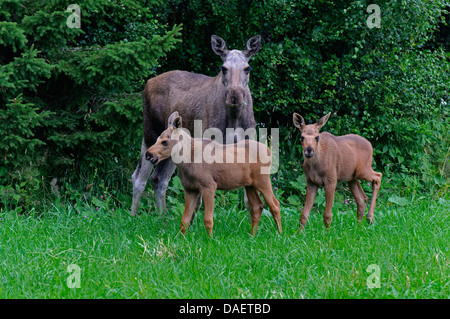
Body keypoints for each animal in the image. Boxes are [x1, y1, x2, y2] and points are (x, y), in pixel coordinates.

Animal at [130, 35, 262, 216]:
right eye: (223, 68)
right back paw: (133, 216)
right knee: (139, 177)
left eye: (247, 68)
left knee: (158, 178)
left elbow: (248, 200)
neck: (234, 118)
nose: (234, 95)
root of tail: (148, 82)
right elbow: (200, 199)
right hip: (151, 133)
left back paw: (162, 216)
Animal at [146, 112, 284, 238]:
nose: (148, 154)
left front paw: (211, 240)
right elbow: (184, 220)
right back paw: (252, 236)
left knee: (275, 205)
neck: (187, 160)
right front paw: (181, 239)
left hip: (263, 180)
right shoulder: (190, 189)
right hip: (249, 184)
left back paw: (280, 235)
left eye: (165, 142)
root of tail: (269, 151)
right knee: (257, 206)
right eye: (157, 139)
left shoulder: (209, 185)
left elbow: (208, 219)